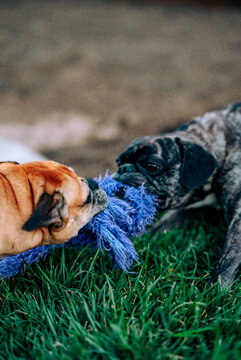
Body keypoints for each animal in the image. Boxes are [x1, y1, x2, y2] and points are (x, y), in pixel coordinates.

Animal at [114, 102, 241, 288]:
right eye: (119, 162)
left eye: (152, 166)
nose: (124, 169)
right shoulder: (187, 210)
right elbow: (158, 228)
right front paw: (137, 244)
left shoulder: (238, 217)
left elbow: (228, 258)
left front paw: (216, 289)